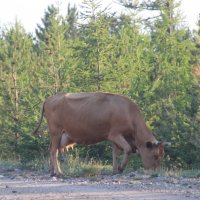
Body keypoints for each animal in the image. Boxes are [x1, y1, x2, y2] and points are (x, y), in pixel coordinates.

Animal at [32, 92, 164, 177]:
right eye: (155, 155)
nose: (156, 172)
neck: (129, 113)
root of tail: (48, 99)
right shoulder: (115, 134)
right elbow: (127, 149)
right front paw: (121, 168)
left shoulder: (114, 138)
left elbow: (115, 154)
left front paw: (115, 170)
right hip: (56, 132)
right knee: (53, 150)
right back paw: (59, 172)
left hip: (60, 135)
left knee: (52, 149)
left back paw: (52, 172)